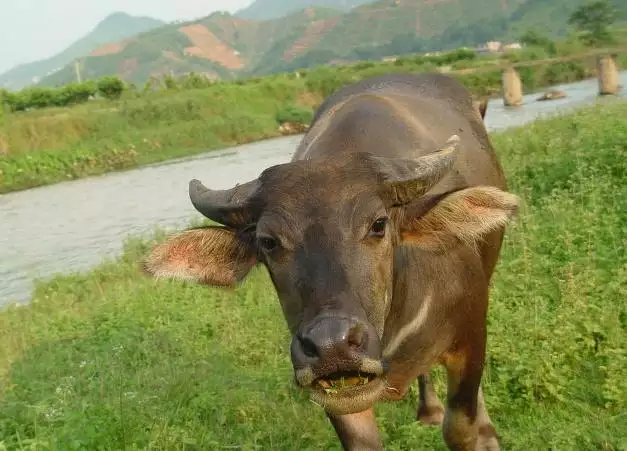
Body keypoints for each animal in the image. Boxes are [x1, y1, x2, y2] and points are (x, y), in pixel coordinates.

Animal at [142, 72, 520, 450]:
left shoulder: (471, 339)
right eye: (268, 242)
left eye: (378, 224)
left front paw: (485, 432)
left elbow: (461, 428)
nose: (331, 346)